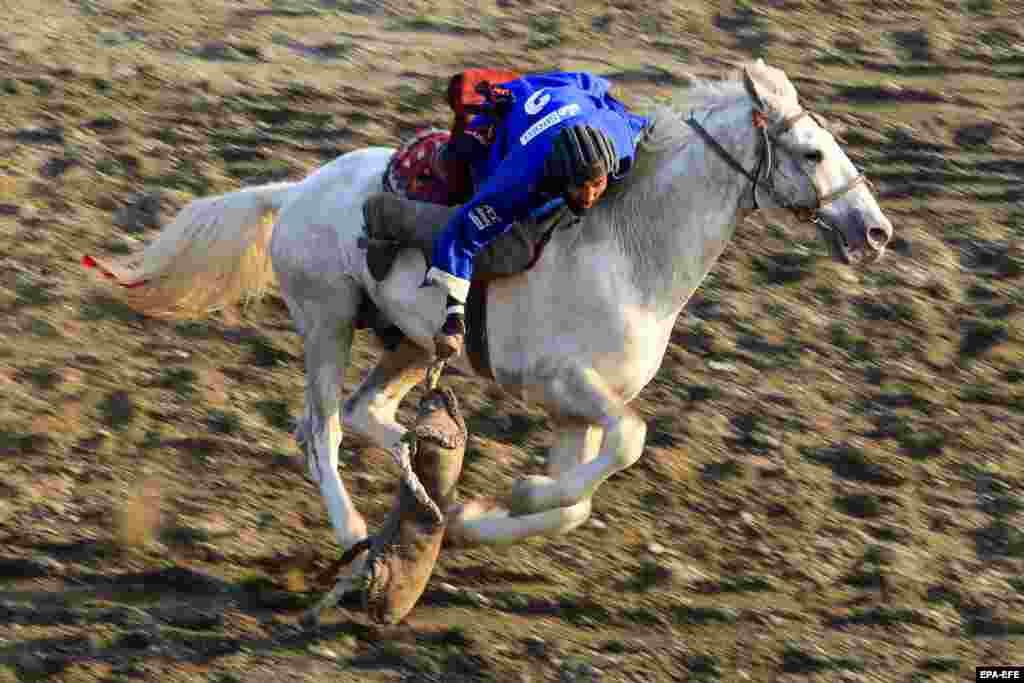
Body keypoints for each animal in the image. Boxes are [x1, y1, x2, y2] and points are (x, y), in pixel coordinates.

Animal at [88, 61, 888, 565]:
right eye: (812, 153)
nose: (875, 231)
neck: (629, 250)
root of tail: (294, 191)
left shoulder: (574, 414)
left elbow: (580, 500)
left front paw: (477, 519)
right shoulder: (564, 385)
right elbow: (630, 440)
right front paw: (515, 493)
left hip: (408, 341)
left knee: (366, 411)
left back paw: (428, 486)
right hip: (326, 323)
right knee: (321, 428)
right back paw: (352, 528)